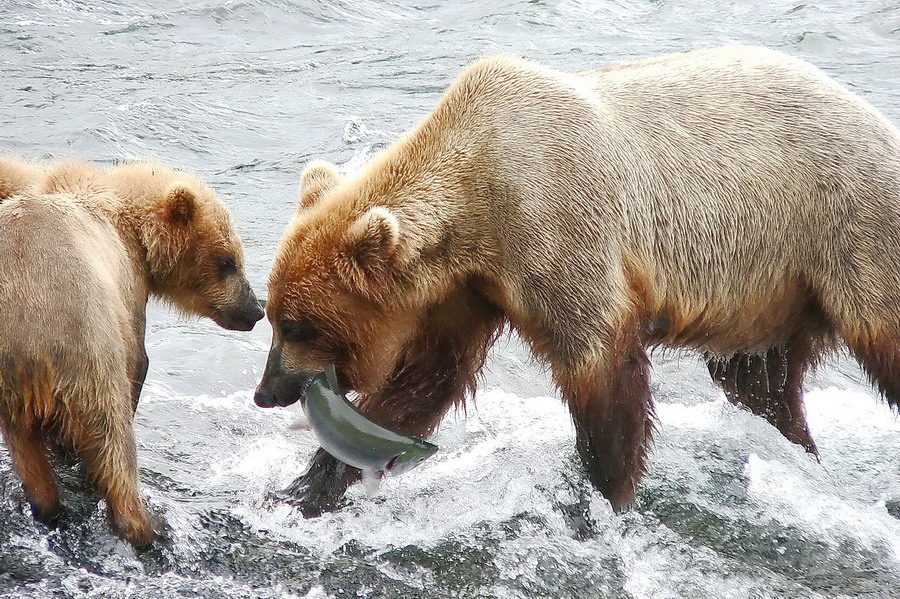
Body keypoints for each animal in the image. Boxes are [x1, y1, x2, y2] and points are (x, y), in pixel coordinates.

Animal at [1, 159, 264, 544]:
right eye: (227, 261)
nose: (255, 310)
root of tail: (30, 343)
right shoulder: (125, 292)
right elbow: (137, 361)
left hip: (13, 387)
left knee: (26, 450)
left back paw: (48, 505)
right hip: (86, 347)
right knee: (113, 433)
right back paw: (147, 523)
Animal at [251, 45, 900, 516]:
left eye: (298, 325)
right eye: (274, 315)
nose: (267, 390)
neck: (479, 204)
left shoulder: (559, 228)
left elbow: (603, 370)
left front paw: (605, 496)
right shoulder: (467, 289)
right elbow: (424, 382)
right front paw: (305, 488)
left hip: (848, 229)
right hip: (765, 296)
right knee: (759, 382)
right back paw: (801, 449)